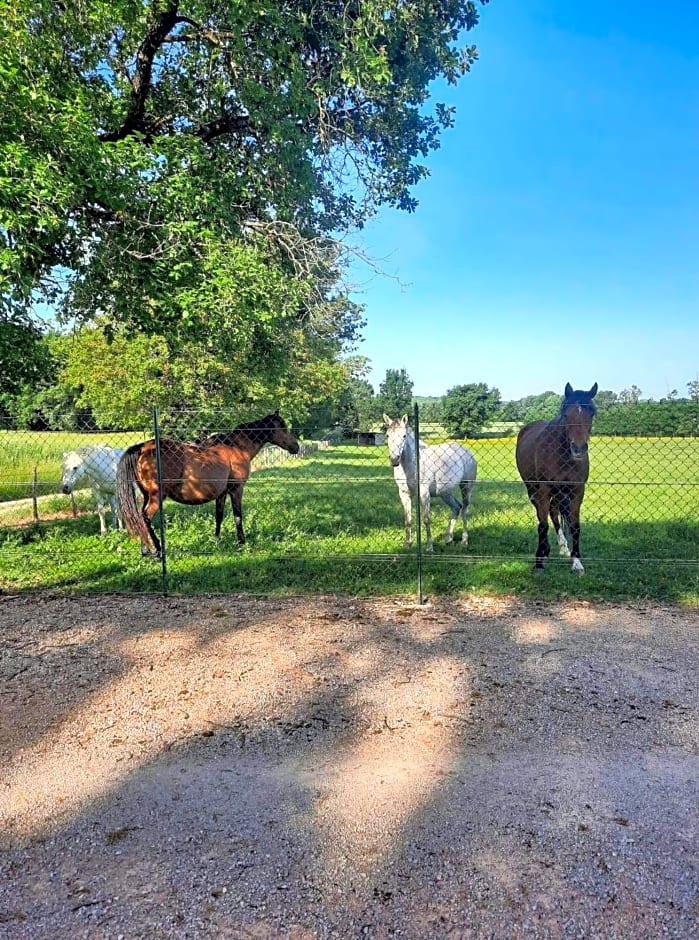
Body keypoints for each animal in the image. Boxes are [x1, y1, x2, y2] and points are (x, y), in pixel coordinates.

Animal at [115, 412, 300, 560]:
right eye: (283, 427)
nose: (296, 447)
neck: (236, 447)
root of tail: (143, 447)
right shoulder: (236, 490)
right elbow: (237, 516)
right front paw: (241, 542)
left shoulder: (222, 493)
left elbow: (219, 516)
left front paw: (216, 541)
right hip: (156, 496)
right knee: (146, 517)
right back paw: (159, 550)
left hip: (147, 495)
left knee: (139, 518)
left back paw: (145, 549)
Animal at [386, 414, 478, 556]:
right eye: (387, 435)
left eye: (404, 436)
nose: (394, 460)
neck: (413, 464)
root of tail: (468, 453)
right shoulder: (404, 494)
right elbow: (408, 520)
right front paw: (407, 545)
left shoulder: (424, 494)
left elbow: (426, 519)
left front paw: (429, 547)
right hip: (445, 493)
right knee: (456, 507)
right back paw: (448, 539)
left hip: (466, 487)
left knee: (465, 511)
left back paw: (464, 541)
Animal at [516, 382, 600, 572]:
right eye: (566, 414)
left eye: (592, 413)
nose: (578, 449)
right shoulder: (544, 489)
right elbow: (542, 524)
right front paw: (539, 562)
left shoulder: (577, 490)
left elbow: (574, 526)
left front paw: (577, 563)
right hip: (532, 488)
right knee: (544, 514)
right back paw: (546, 550)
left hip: (559, 492)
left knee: (554, 512)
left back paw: (563, 548)